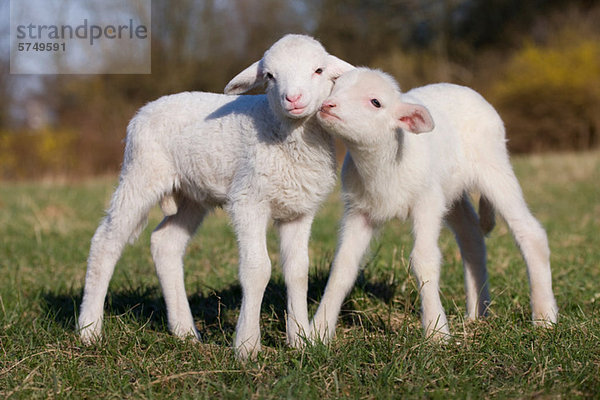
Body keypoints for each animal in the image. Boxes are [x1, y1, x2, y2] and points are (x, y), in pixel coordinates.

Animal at [77, 35, 354, 360]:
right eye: (269, 76)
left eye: (319, 70)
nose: (293, 99)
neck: (284, 132)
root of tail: (145, 109)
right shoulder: (248, 201)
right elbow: (258, 270)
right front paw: (247, 346)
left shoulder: (299, 210)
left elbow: (298, 271)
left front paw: (300, 340)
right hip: (141, 172)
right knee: (106, 241)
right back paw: (89, 330)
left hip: (190, 195)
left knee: (165, 243)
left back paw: (185, 332)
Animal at [312, 68, 560, 340]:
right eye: (334, 88)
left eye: (376, 102)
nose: (327, 105)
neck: (383, 163)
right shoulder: (359, 211)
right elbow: (343, 266)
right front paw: (317, 331)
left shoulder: (427, 201)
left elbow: (424, 260)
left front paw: (436, 331)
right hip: (451, 191)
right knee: (472, 237)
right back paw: (478, 313)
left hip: (493, 166)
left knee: (530, 233)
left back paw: (544, 316)